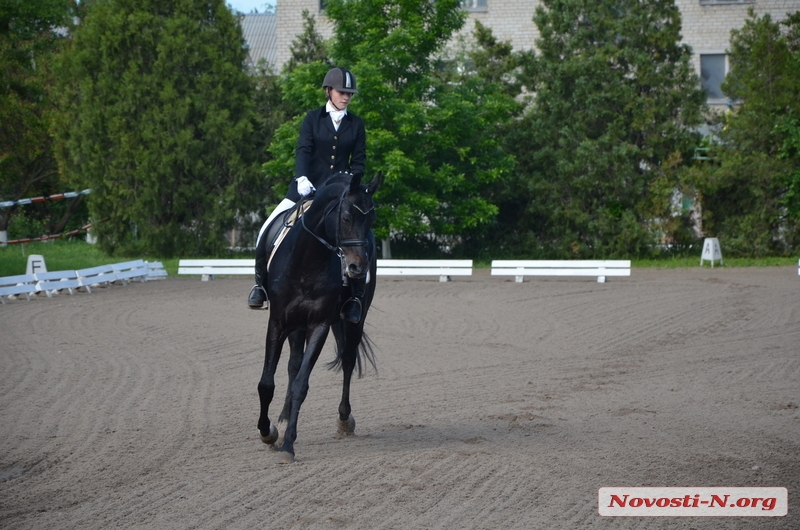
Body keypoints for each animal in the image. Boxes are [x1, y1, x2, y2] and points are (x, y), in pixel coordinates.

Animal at [256, 170, 382, 462]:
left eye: (371, 220)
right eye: (346, 217)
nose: (357, 268)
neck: (308, 260)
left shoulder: (319, 325)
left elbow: (302, 384)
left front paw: (288, 445)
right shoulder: (278, 322)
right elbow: (267, 383)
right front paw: (269, 432)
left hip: (354, 321)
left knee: (347, 361)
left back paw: (344, 420)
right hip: (295, 325)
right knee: (293, 365)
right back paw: (282, 418)